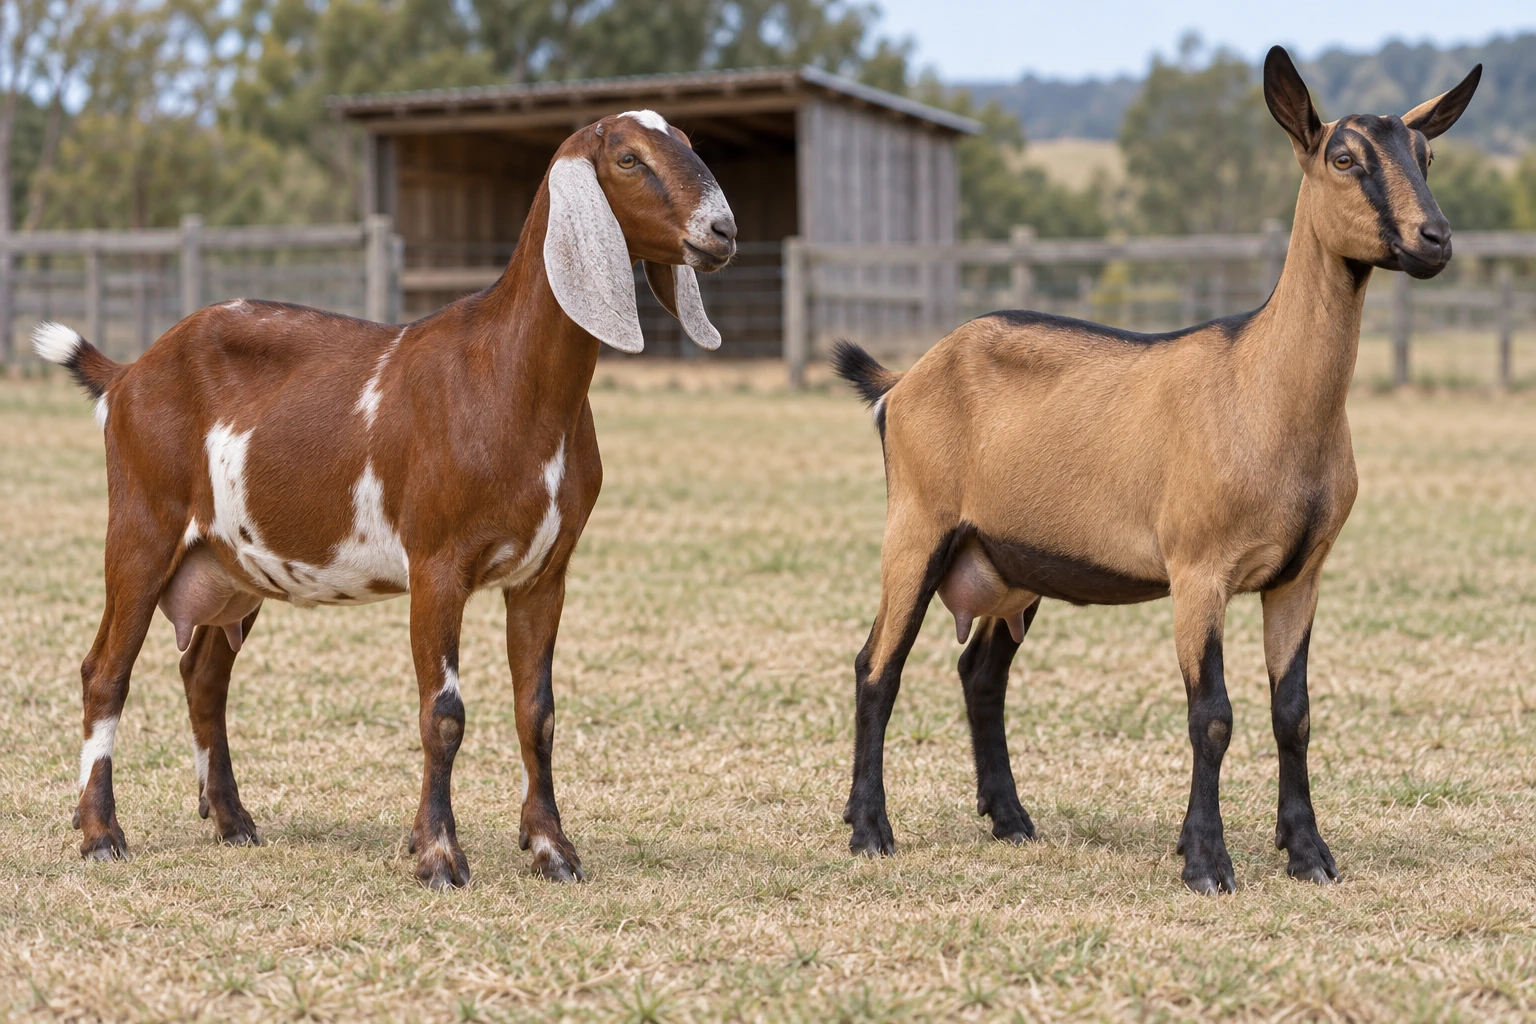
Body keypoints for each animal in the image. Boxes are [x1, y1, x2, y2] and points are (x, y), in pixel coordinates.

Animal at [34, 109, 737, 887]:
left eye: (689, 146)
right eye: (628, 159)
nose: (722, 230)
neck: (503, 373)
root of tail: (128, 373)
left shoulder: (544, 573)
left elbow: (538, 711)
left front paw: (554, 849)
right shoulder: (437, 564)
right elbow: (444, 713)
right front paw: (438, 855)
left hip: (230, 566)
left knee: (204, 677)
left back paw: (232, 820)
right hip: (142, 526)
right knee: (105, 671)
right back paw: (101, 833)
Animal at [831, 48, 1480, 894]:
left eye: (1426, 156)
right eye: (1344, 159)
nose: (1434, 239)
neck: (1260, 386)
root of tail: (904, 380)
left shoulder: (1300, 575)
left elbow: (1294, 713)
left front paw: (1308, 852)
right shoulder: (1199, 567)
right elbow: (1212, 715)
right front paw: (1206, 860)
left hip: (1009, 558)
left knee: (981, 673)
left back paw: (1009, 819)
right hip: (917, 524)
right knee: (877, 666)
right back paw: (870, 830)